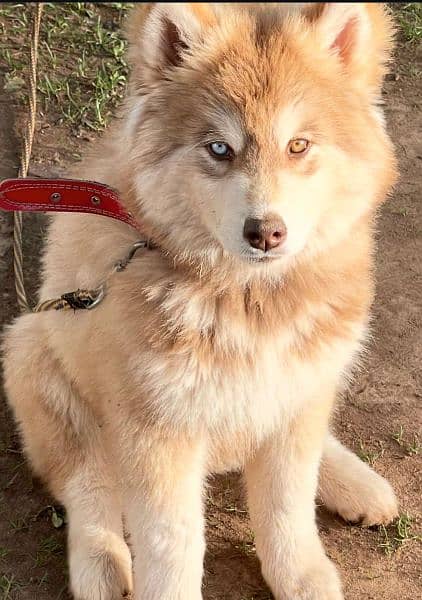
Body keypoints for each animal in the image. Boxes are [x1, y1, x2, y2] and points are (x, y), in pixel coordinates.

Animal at [2, 4, 398, 600]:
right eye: (219, 149)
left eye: (299, 145)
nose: (266, 233)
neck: (244, 298)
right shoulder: (157, 430)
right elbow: (172, 545)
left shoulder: (294, 394)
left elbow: (287, 506)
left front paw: (301, 574)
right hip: (34, 355)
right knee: (87, 482)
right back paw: (100, 563)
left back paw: (357, 484)